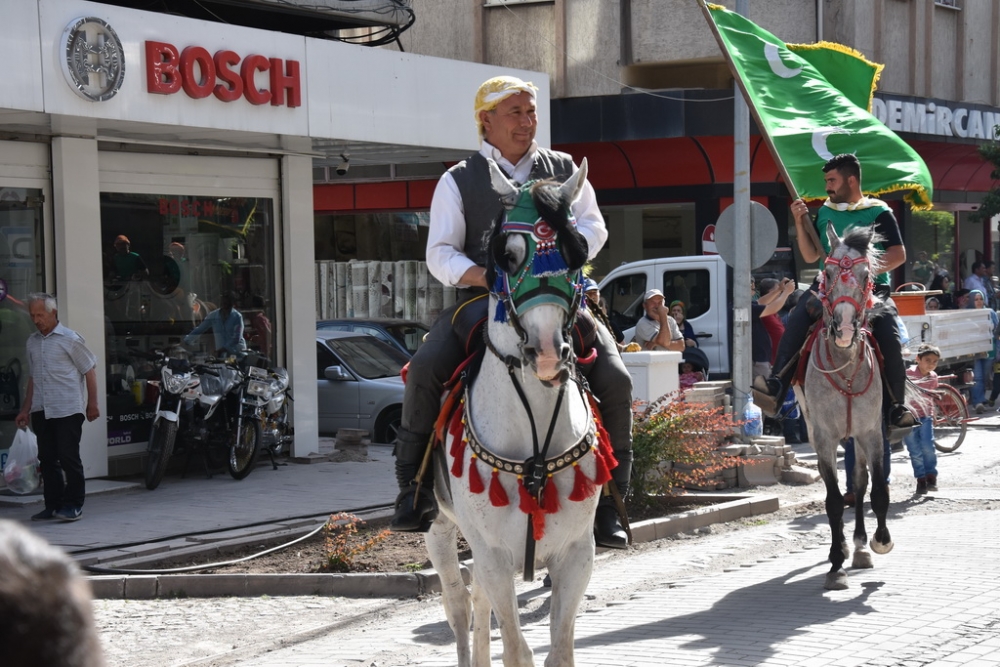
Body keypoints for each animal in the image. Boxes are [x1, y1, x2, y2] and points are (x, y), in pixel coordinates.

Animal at [796, 224, 900, 588]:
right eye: (826, 274)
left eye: (866, 274)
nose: (842, 328)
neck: (846, 366)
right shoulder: (824, 438)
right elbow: (833, 501)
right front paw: (835, 563)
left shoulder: (871, 433)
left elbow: (878, 490)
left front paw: (880, 541)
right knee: (845, 491)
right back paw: (843, 548)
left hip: (856, 437)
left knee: (859, 483)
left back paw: (860, 547)